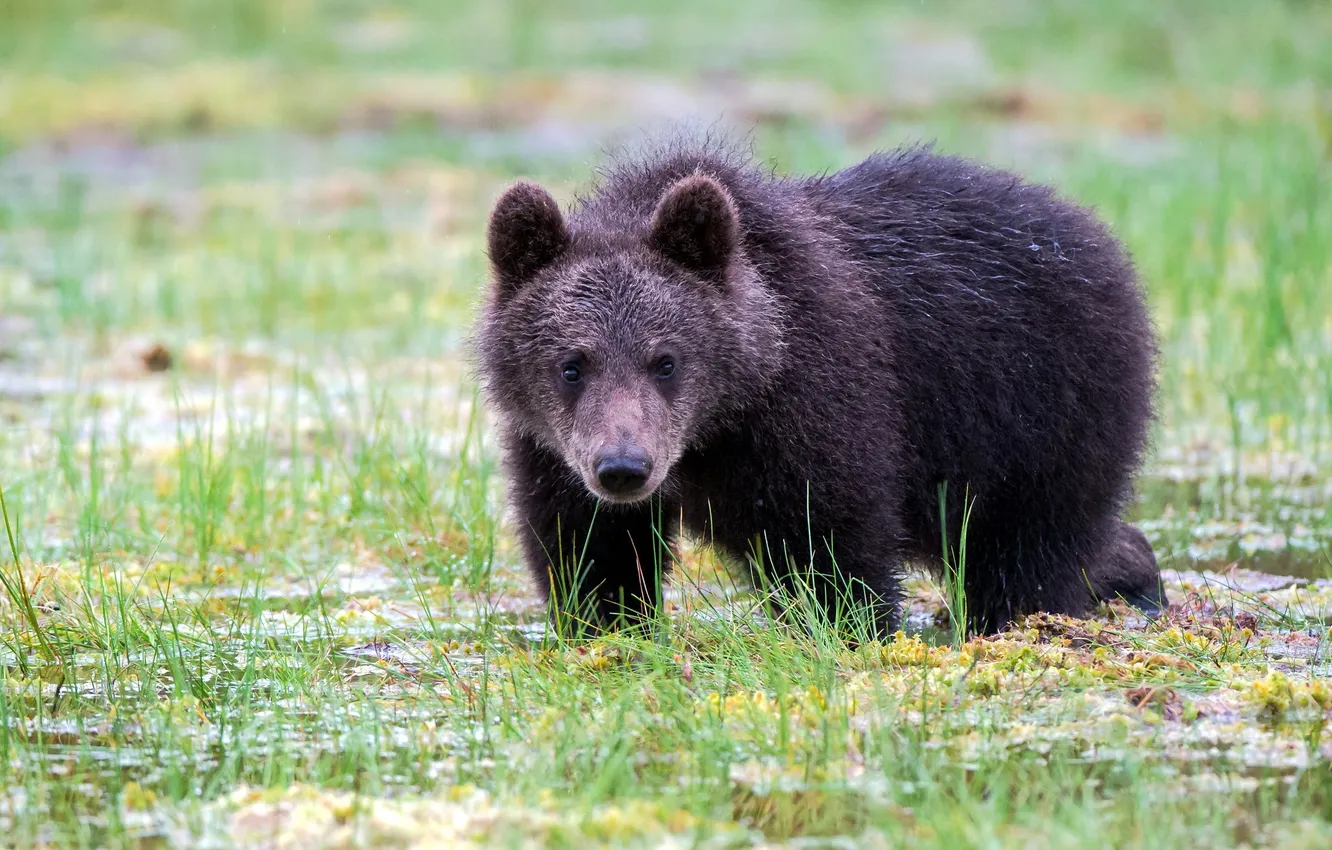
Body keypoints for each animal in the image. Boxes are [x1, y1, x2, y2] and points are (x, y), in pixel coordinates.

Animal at [475, 136, 1162, 638]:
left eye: (665, 360)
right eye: (572, 364)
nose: (623, 468)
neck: (716, 426)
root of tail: (1097, 236)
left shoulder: (811, 404)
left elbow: (826, 538)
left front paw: (848, 628)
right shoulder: (551, 449)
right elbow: (589, 548)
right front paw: (606, 627)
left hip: (1036, 408)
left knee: (1028, 546)